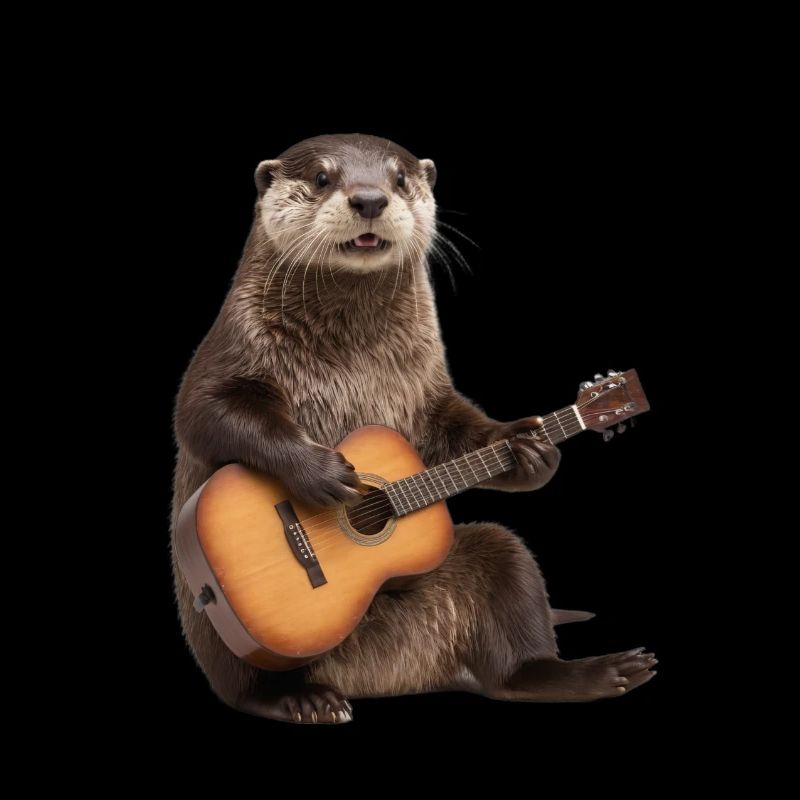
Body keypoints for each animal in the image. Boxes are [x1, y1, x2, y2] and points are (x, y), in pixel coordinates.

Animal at [171, 134, 656, 723]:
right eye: (322, 177)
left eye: (399, 178)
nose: (370, 199)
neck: (352, 350)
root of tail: (378, 681)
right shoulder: (228, 354)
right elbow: (204, 414)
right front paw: (321, 473)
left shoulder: (429, 389)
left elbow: (453, 432)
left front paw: (530, 449)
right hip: (227, 636)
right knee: (245, 686)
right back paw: (304, 699)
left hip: (495, 564)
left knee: (509, 623)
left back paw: (591, 674)